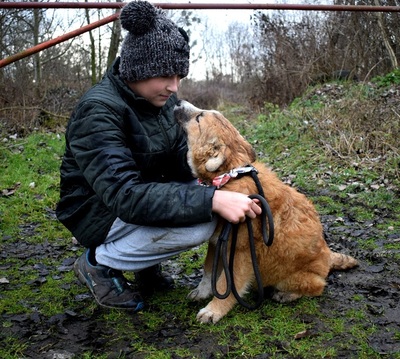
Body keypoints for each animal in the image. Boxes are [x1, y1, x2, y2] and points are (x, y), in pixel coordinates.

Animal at [173, 100, 358, 324]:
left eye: (199, 118)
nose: (178, 101)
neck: (229, 177)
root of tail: (329, 256)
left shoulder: (240, 252)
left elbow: (227, 285)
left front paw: (214, 310)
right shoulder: (217, 242)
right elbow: (209, 272)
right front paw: (202, 292)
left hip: (293, 278)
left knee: (317, 287)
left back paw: (286, 295)